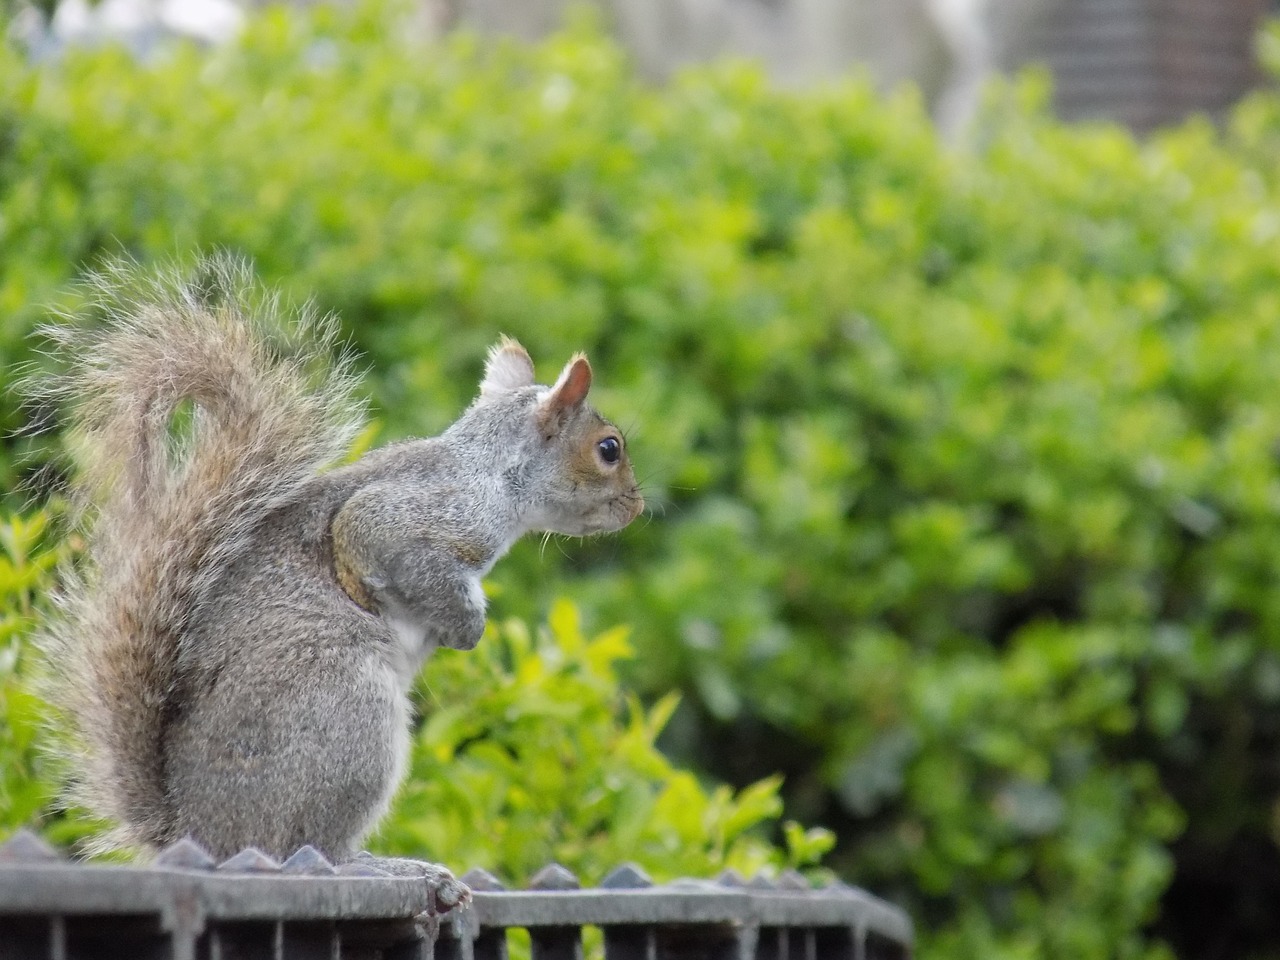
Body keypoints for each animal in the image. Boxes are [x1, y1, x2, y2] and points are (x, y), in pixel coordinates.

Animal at [32, 256, 640, 896]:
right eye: (608, 449)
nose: (638, 505)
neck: (492, 474)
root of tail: (201, 834)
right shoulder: (408, 517)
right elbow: (378, 544)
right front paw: (466, 626)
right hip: (348, 717)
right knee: (309, 847)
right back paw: (384, 865)